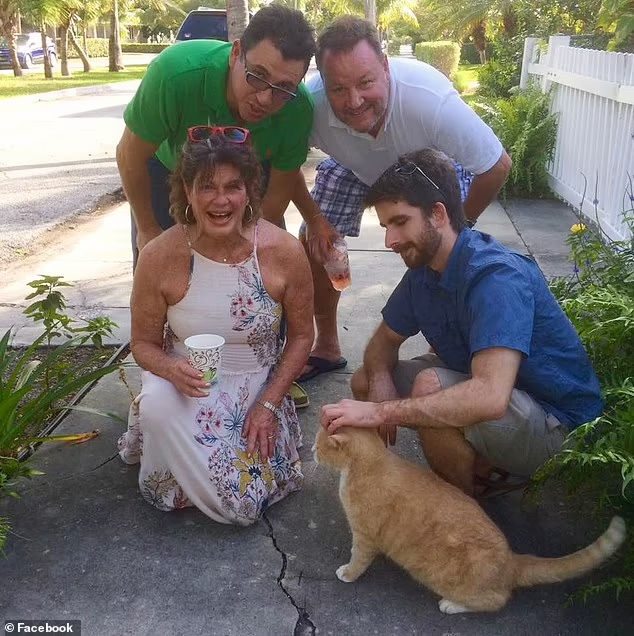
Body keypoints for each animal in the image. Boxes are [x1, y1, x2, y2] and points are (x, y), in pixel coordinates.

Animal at [312, 426, 626, 614]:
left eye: (318, 445)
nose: (312, 451)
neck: (369, 464)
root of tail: (512, 559)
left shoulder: (364, 535)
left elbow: (358, 558)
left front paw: (348, 573)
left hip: (444, 579)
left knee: (497, 600)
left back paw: (451, 605)